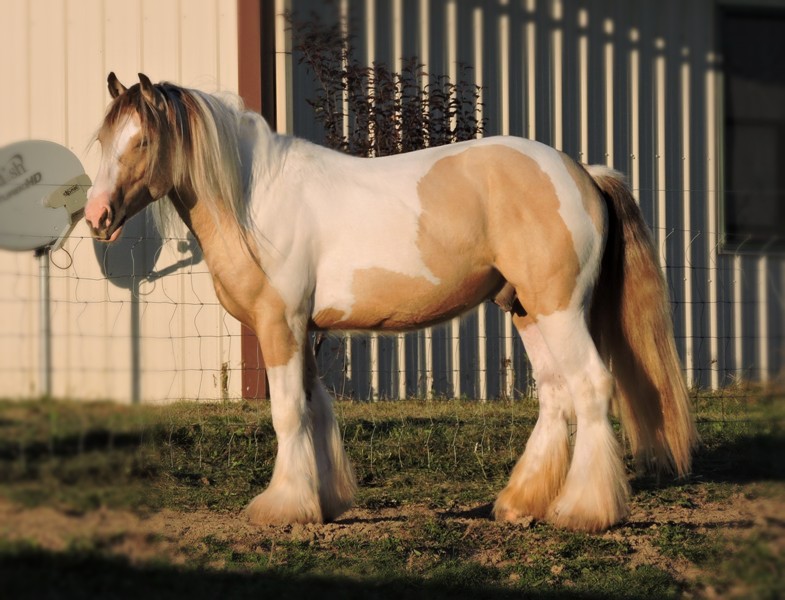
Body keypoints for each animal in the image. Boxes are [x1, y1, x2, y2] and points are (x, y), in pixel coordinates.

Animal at [84, 72, 700, 532]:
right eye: (104, 142)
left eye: (142, 141)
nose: (96, 218)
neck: (255, 198)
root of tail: (582, 174)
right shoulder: (305, 330)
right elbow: (315, 407)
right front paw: (324, 501)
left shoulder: (280, 325)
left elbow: (287, 413)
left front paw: (282, 507)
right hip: (527, 311)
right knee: (556, 395)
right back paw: (519, 505)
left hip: (560, 309)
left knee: (592, 387)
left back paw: (584, 512)